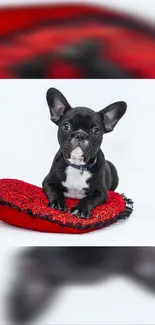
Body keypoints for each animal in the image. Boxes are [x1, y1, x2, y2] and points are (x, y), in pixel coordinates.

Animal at [42, 87, 127, 218]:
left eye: (96, 130)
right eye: (66, 126)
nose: (80, 134)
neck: (78, 165)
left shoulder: (101, 193)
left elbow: (88, 199)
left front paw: (80, 209)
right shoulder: (47, 182)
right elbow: (54, 191)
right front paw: (57, 203)